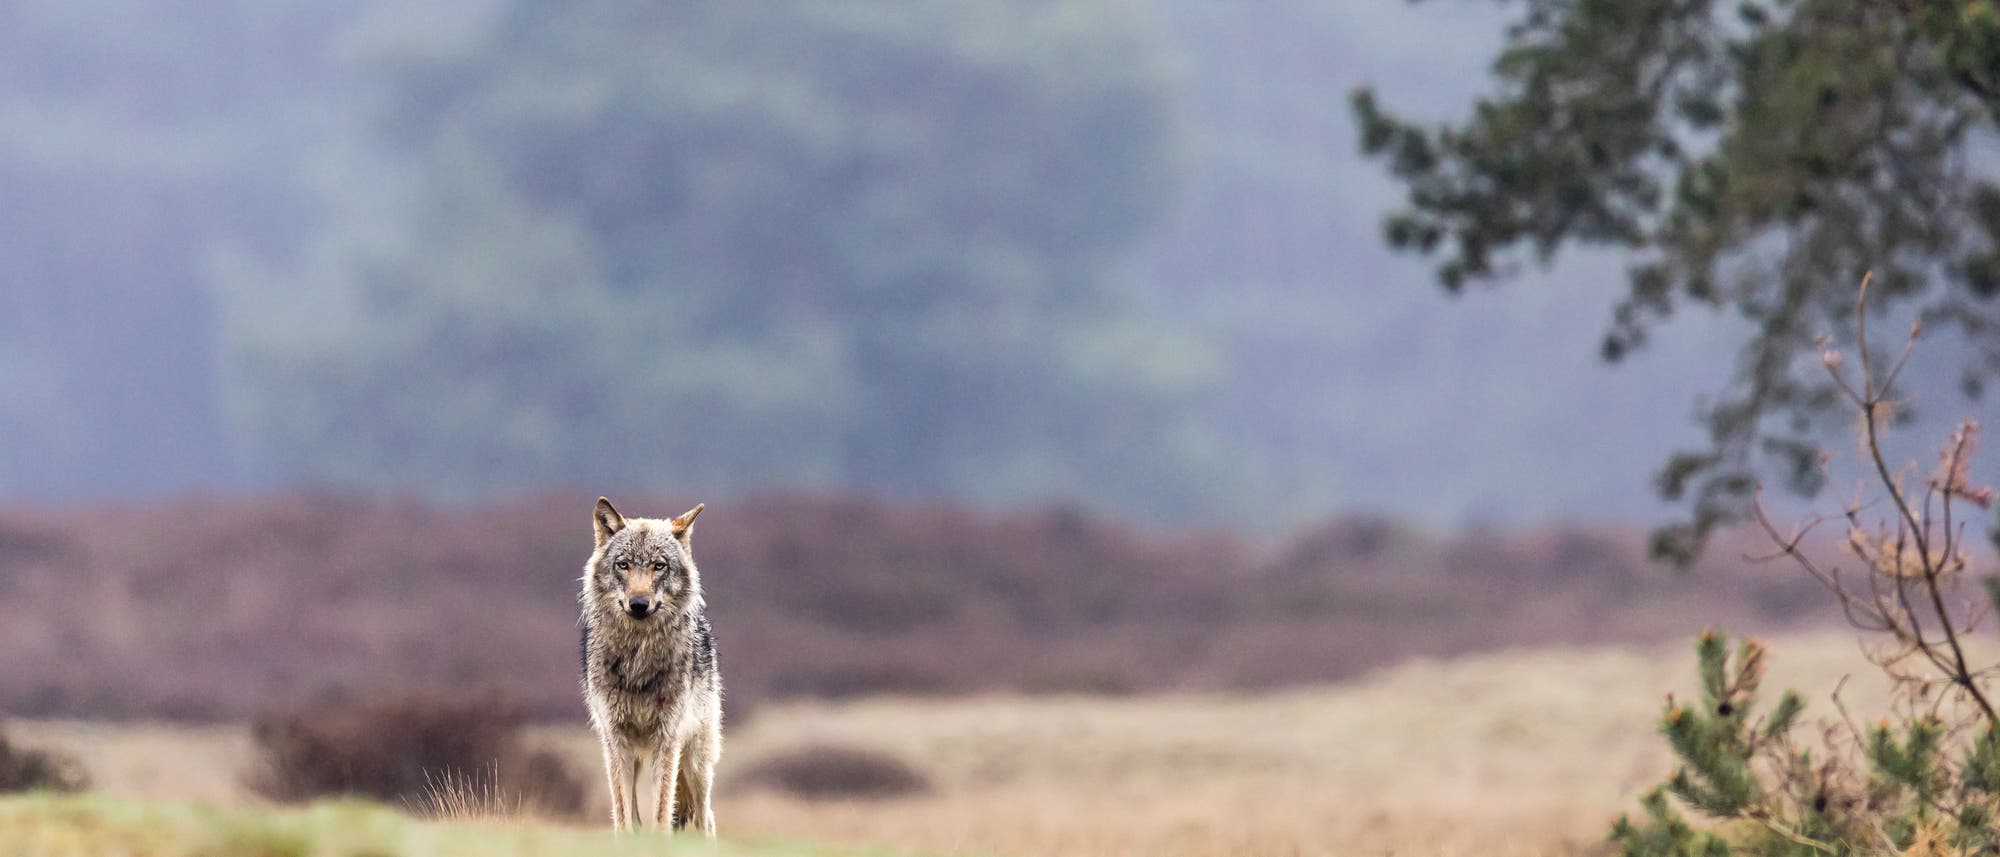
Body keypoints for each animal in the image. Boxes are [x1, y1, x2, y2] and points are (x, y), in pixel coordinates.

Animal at [579, 496, 722, 835]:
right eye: (623, 564)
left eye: (659, 565)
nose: (639, 604)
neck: (638, 659)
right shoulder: (615, 738)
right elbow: (623, 814)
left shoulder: (667, 739)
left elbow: (661, 810)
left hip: (696, 761)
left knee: (705, 818)